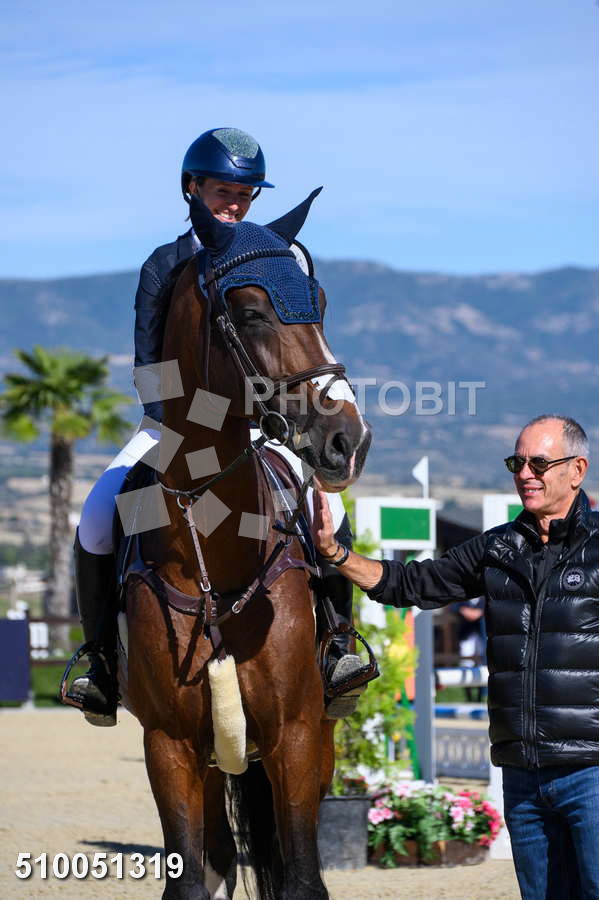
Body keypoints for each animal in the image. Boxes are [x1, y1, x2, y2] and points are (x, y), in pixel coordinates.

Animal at [118, 190, 371, 899]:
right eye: (252, 312)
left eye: (319, 302)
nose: (349, 441)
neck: (219, 563)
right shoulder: (169, 746)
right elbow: (189, 878)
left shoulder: (296, 738)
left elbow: (304, 877)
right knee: (221, 858)